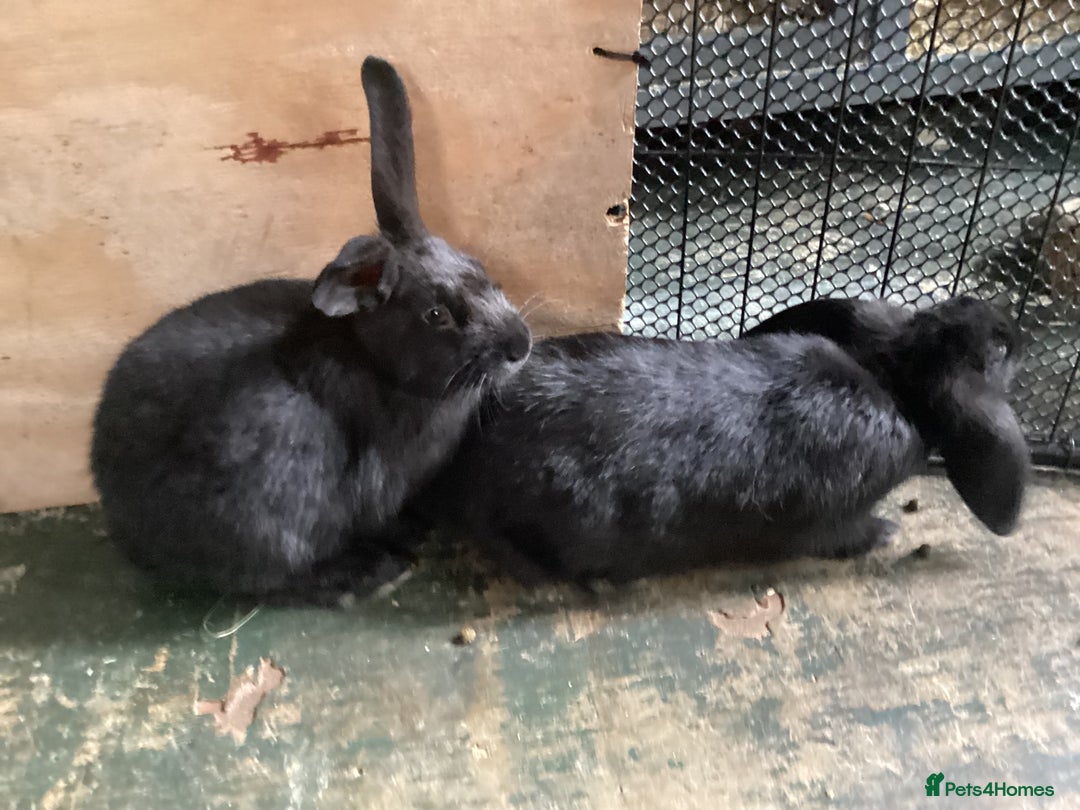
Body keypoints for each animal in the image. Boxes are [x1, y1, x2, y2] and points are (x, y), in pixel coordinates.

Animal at [90, 56, 532, 604]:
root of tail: (120, 516)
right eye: (436, 314)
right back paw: (370, 572)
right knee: (278, 577)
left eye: (480, 268)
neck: (380, 366)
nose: (520, 344)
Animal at [418, 295, 1026, 587]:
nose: (1010, 324)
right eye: (998, 351)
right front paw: (884, 533)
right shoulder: (837, 513)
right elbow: (841, 535)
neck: (894, 377)